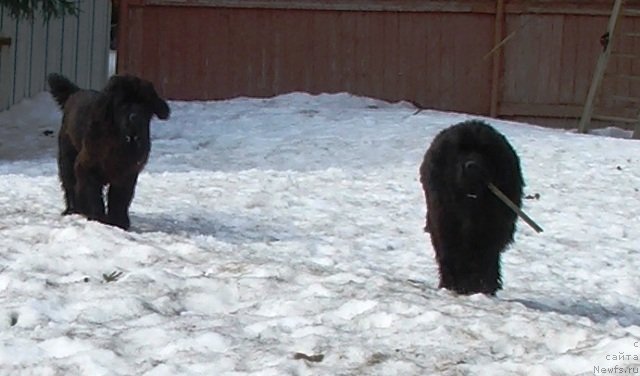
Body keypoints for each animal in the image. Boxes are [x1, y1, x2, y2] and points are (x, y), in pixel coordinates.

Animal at [48, 73, 170, 229]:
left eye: (144, 103)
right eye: (122, 103)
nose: (135, 117)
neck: (119, 139)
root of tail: (76, 92)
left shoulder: (127, 172)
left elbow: (120, 198)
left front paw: (119, 222)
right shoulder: (87, 166)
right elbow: (93, 194)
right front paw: (97, 217)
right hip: (67, 158)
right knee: (70, 184)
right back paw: (72, 210)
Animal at [422, 119, 524, 294]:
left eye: (485, 151)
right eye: (460, 151)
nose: (472, 166)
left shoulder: (492, 227)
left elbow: (485, 257)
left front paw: (482, 286)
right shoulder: (446, 222)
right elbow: (451, 252)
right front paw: (455, 284)